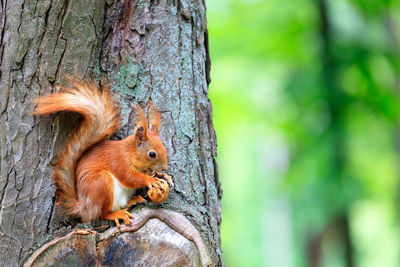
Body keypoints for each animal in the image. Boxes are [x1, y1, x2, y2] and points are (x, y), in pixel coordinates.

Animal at [33, 78, 173, 228]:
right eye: (152, 154)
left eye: (164, 148)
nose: (165, 167)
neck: (129, 152)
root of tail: (84, 207)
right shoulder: (118, 161)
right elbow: (130, 177)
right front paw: (151, 180)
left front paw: (164, 176)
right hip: (100, 183)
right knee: (102, 214)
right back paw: (117, 214)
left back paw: (133, 200)